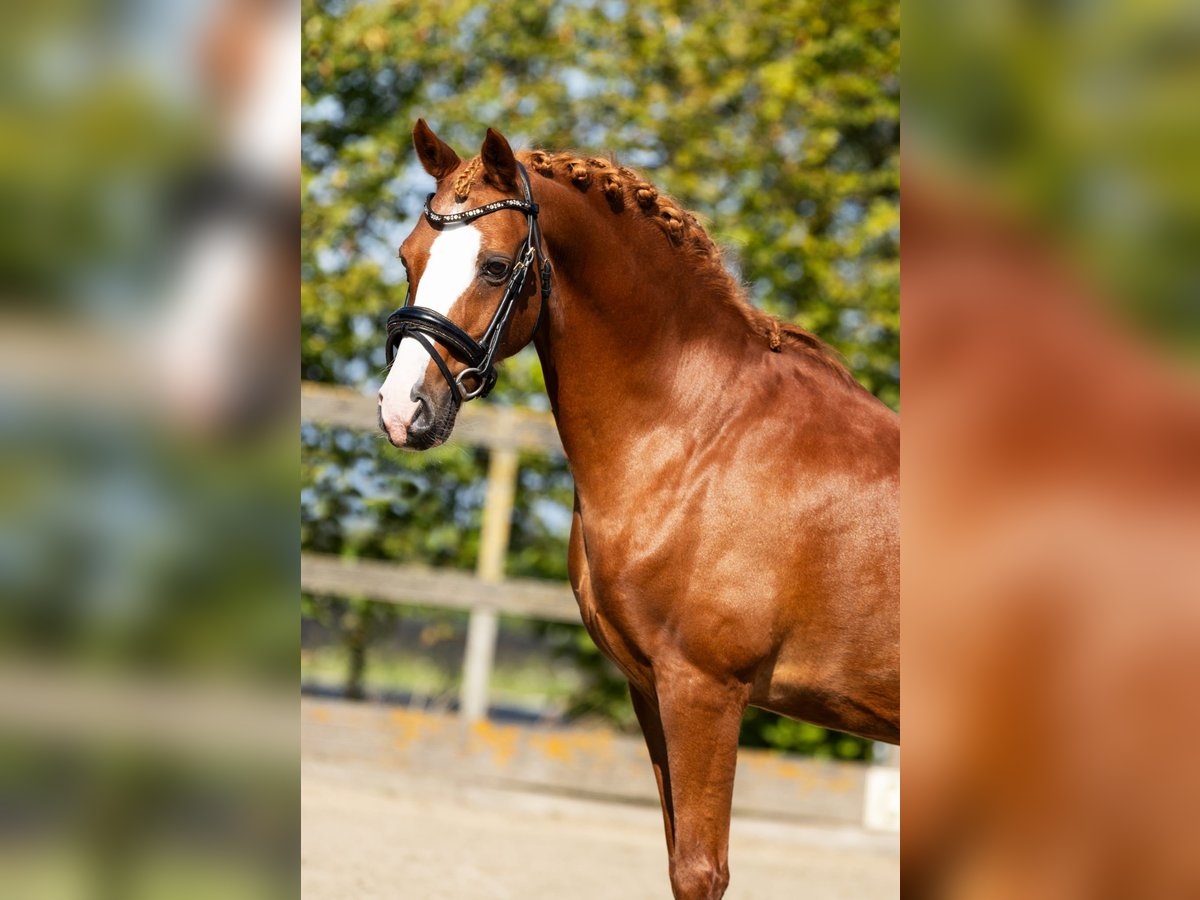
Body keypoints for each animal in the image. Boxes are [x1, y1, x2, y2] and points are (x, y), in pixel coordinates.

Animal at [379, 121, 897, 900]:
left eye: (496, 267)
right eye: (408, 257)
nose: (399, 408)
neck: (702, 436)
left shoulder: (704, 691)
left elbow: (701, 869)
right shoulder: (651, 689)